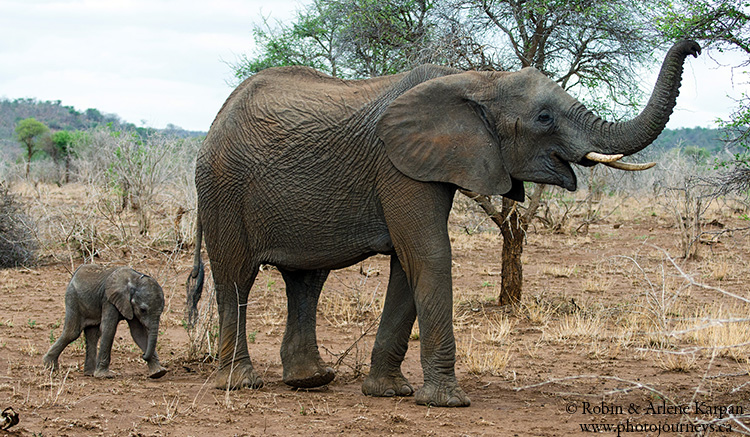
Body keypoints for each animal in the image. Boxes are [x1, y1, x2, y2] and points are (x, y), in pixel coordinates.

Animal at [187, 40, 700, 406]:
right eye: (543, 117)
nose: (693, 47)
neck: (477, 81)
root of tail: (214, 123)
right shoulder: (397, 165)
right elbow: (429, 253)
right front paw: (447, 402)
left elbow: (408, 263)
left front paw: (389, 393)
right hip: (222, 187)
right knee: (236, 277)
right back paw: (240, 383)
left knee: (306, 280)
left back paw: (311, 381)